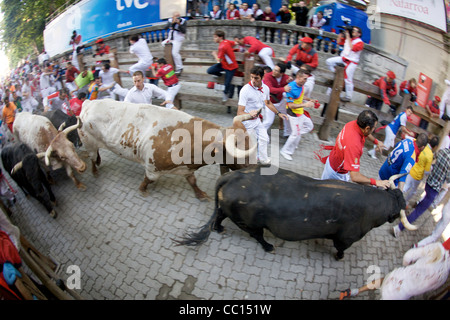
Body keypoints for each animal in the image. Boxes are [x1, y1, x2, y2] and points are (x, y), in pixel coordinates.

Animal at [178, 165, 408, 260]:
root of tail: (233, 176)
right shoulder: (346, 238)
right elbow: (341, 249)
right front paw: (339, 258)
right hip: (250, 222)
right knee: (256, 235)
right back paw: (269, 246)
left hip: (229, 209)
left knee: (219, 215)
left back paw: (219, 228)